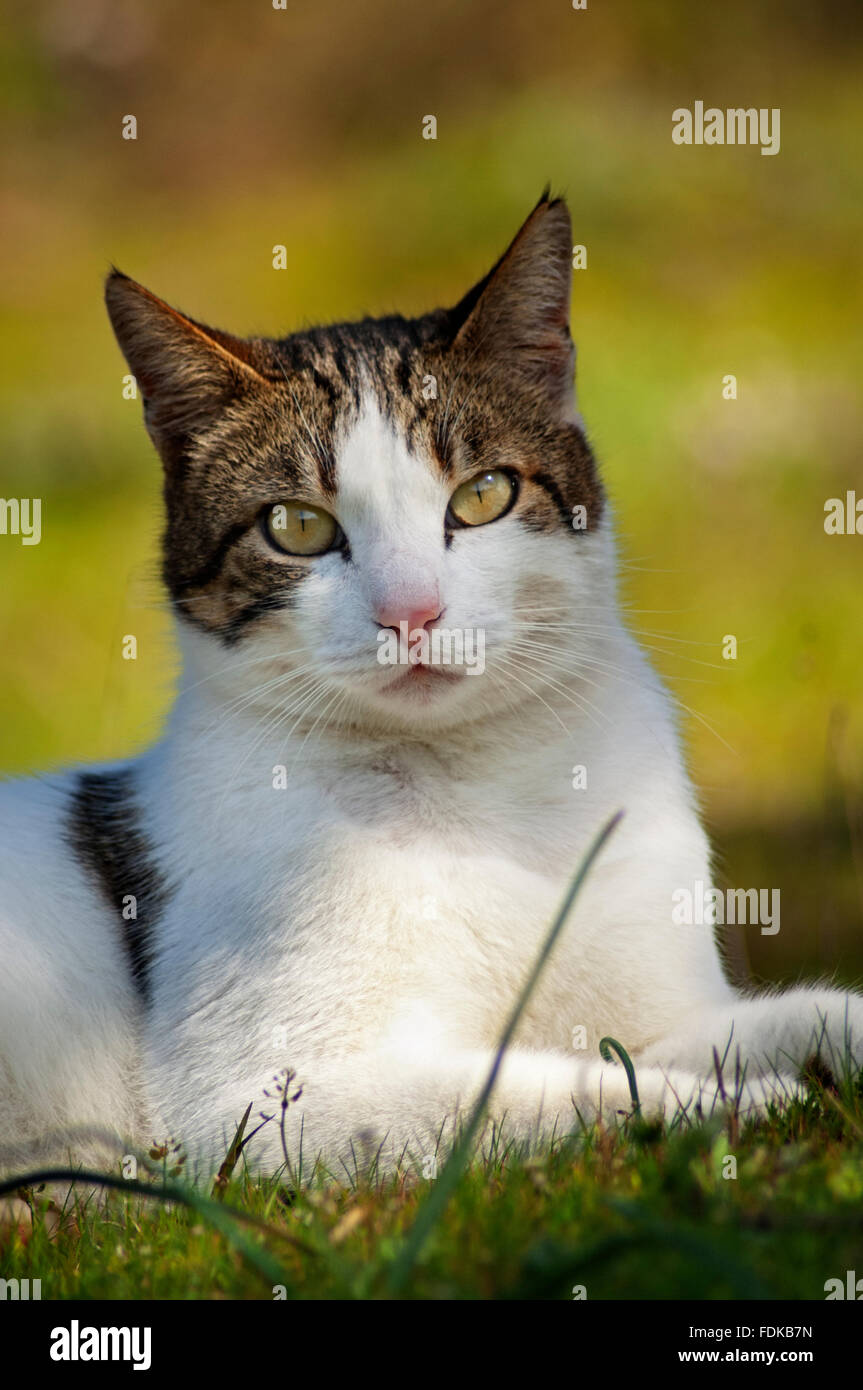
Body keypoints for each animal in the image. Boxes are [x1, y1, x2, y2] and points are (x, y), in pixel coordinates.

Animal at [1, 187, 861, 1184]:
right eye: (296, 525)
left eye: (483, 495)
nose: (410, 610)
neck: (479, 794)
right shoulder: (254, 1111)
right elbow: (544, 1095)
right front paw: (755, 1110)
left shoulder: (657, 1014)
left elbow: (745, 1028)